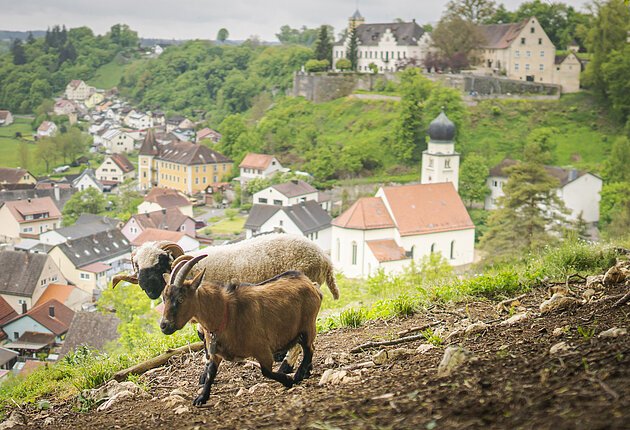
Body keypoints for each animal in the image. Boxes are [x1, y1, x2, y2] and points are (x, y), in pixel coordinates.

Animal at [160, 255, 324, 406]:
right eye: (164, 298)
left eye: (181, 298)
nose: (164, 325)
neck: (225, 313)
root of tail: (310, 284)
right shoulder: (215, 352)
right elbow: (210, 373)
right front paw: (201, 397)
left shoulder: (262, 348)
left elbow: (266, 371)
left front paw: (288, 380)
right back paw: (306, 372)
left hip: (307, 325)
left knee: (309, 348)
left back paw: (298, 375)